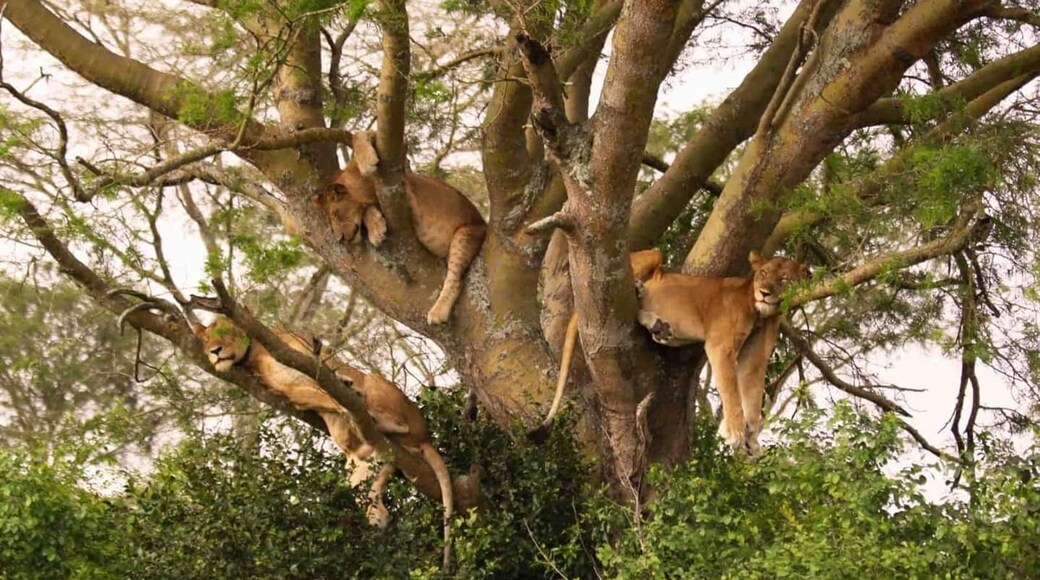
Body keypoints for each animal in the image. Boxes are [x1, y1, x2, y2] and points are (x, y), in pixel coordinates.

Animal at [312, 131, 486, 326]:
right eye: (331, 219)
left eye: (336, 215)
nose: (340, 239)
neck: (363, 185)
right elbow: (367, 210)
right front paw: (376, 230)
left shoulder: (402, 172)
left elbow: (361, 134)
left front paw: (367, 161)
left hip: (465, 234)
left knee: (455, 279)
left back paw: (438, 311)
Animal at [636, 251, 809, 455]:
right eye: (764, 273)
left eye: (784, 279)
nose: (764, 293)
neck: (761, 315)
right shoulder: (721, 347)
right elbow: (731, 389)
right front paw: (735, 431)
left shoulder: (755, 358)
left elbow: (753, 395)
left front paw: (751, 438)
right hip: (654, 254)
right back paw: (642, 296)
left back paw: (657, 325)